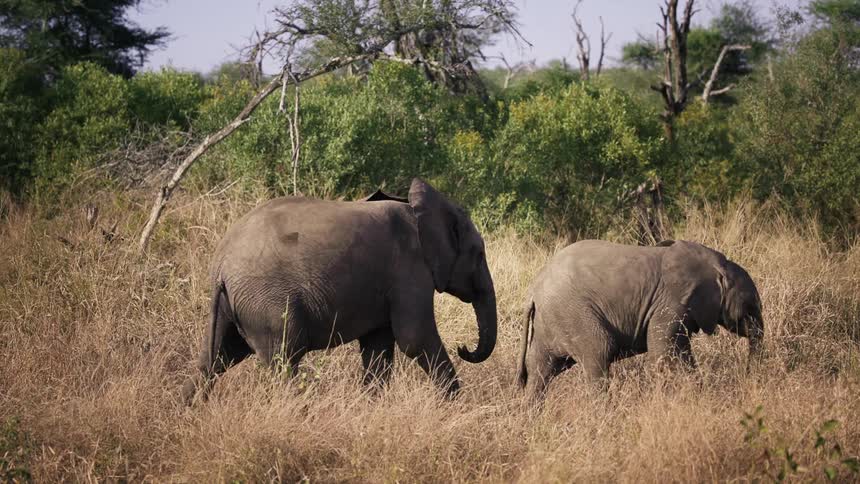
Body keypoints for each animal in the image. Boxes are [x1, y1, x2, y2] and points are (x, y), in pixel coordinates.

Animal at [181, 178, 497, 404]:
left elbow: (378, 348)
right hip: (266, 303)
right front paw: (455, 407)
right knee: (282, 361)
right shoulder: (410, 269)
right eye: (479, 254)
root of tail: (221, 265)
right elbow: (414, 338)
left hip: (234, 306)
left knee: (215, 360)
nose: (463, 347)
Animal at [516, 239, 764, 400]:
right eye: (750, 308)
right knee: (599, 351)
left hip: (550, 320)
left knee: (540, 369)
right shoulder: (670, 302)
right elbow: (665, 354)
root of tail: (534, 290)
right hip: (573, 312)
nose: (748, 377)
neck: (717, 265)